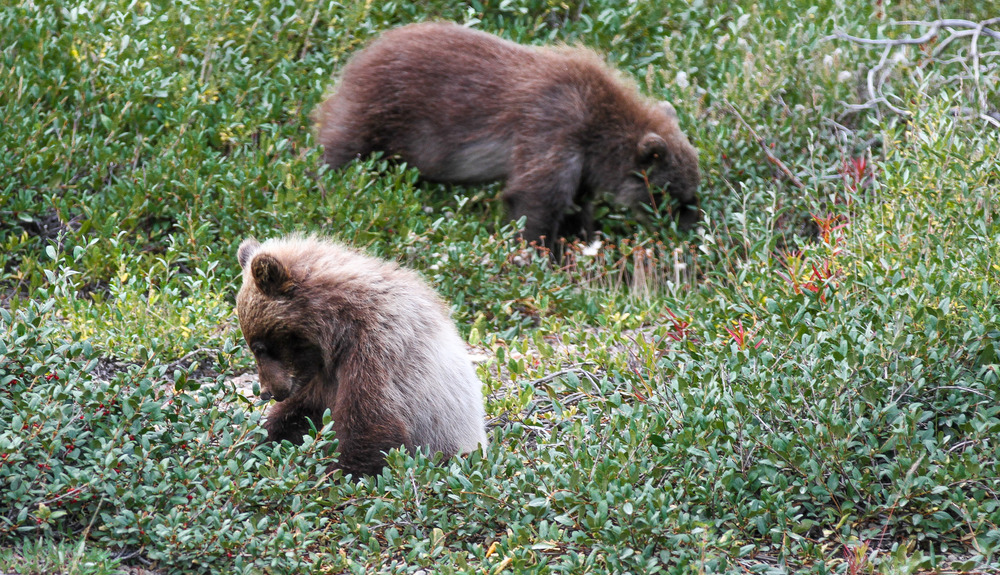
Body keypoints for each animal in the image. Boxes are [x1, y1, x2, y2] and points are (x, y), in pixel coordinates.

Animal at [235, 235, 488, 478]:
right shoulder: (319, 377)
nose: (267, 393)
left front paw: (332, 476)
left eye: (259, 347)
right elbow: (300, 414)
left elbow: (370, 425)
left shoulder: (378, 350)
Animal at [314, 21, 701, 249]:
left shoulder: (580, 162)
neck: (599, 132)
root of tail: (361, 53)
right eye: (670, 195)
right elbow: (535, 197)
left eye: (690, 192)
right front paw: (536, 251)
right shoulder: (552, 126)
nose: (692, 226)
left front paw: (579, 238)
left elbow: (576, 203)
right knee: (343, 148)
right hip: (380, 110)